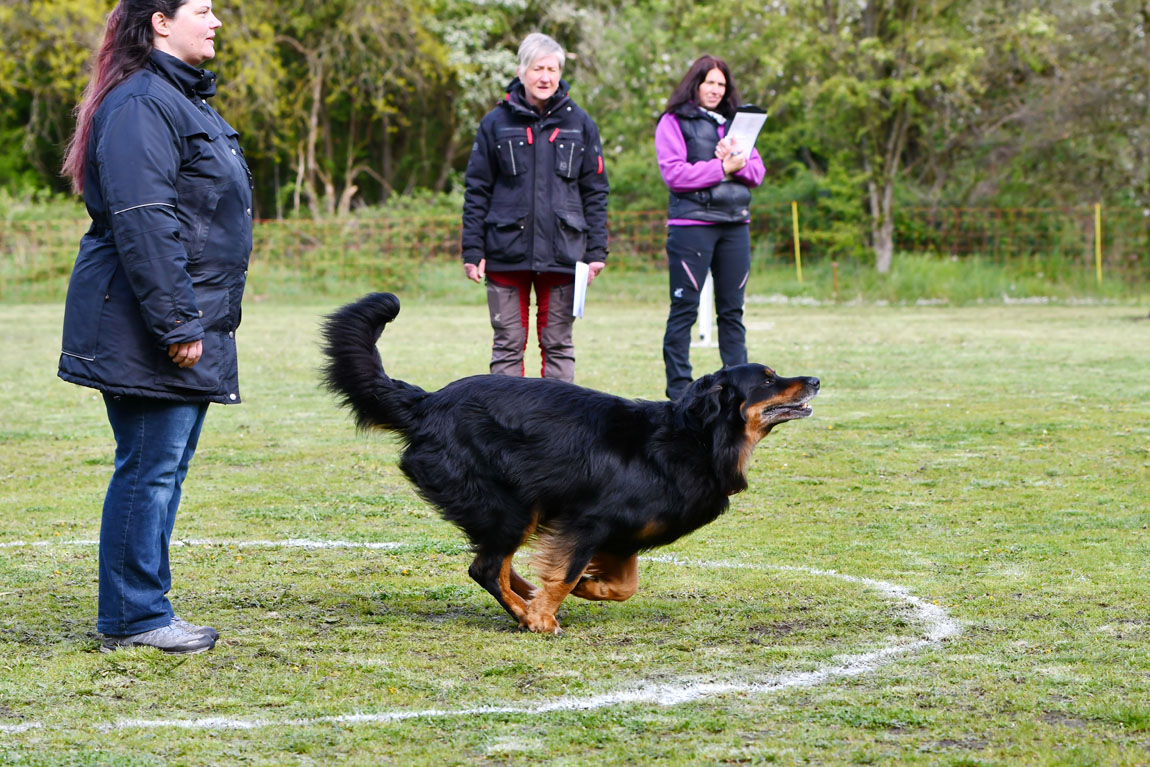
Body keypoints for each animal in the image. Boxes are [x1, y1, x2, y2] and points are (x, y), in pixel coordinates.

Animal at [322, 294, 818, 634]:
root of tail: (428, 404)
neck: (694, 439)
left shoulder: (620, 537)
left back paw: (525, 598)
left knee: (496, 565)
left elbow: (622, 585)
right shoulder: (588, 520)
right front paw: (545, 615)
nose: (814, 379)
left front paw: (585, 589)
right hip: (511, 506)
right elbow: (565, 573)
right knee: (486, 567)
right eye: (768, 379)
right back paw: (527, 613)